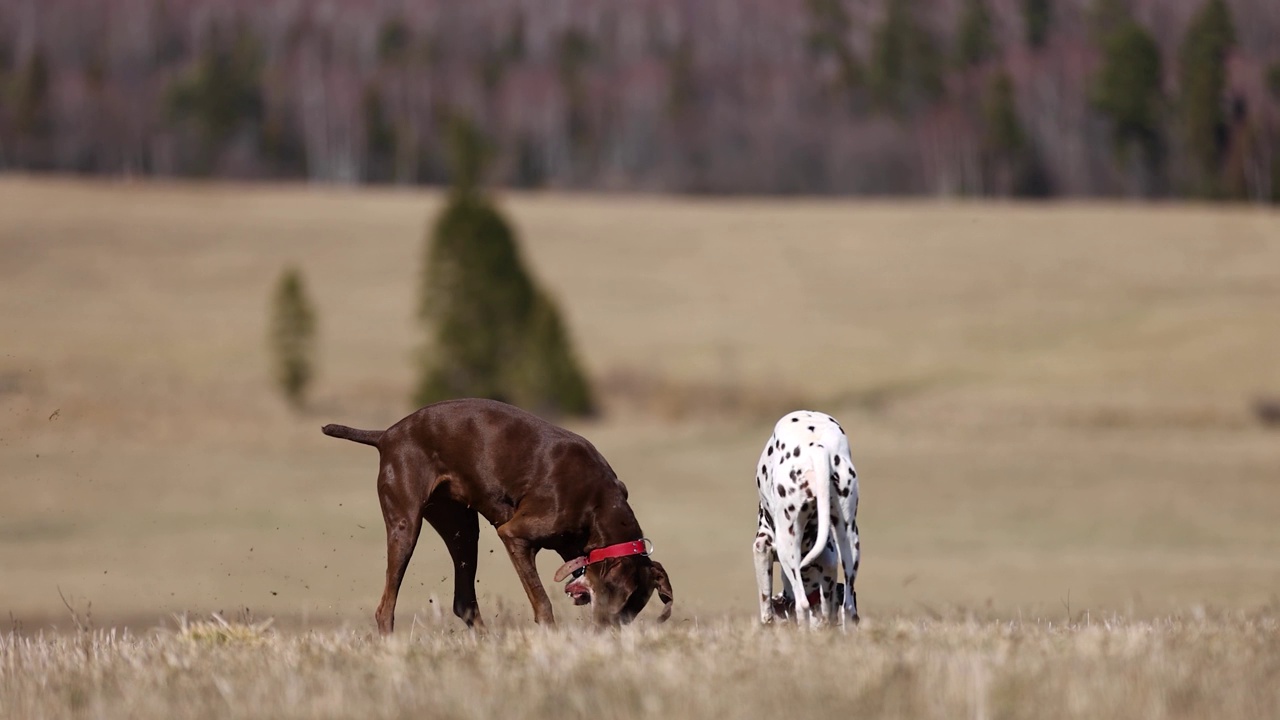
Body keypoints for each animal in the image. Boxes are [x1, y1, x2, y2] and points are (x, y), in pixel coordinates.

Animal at [320, 394, 675, 630]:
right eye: (622, 603)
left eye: (634, 610)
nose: (609, 633)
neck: (599, 504)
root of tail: (387, 435)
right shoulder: (515, 535)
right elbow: (543, 602)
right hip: (405, 524)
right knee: (386, 607)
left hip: (462, 528)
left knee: (464, 602)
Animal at [747, 409, 860, 622]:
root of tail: (817, 447)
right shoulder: (829, 559)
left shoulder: (762, 547)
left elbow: (765, 604)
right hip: (849, 538)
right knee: (849, 608)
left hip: (787, 546)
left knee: (802, 605)